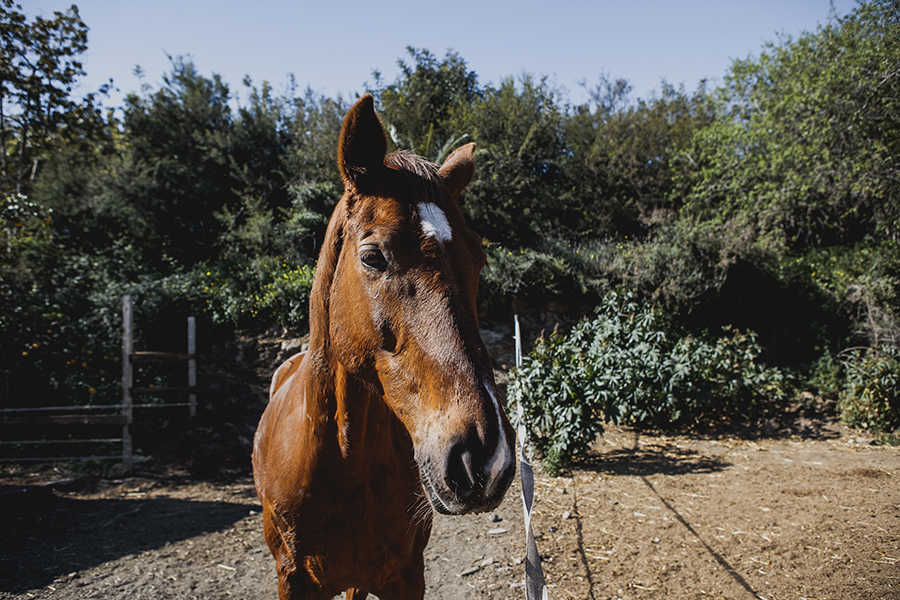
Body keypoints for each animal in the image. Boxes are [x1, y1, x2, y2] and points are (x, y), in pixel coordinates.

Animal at [253, 95, 516, 600]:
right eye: (373, 256)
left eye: (478, 257)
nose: (485, 456)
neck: (343, 466)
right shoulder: (293, 580)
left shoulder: (406, 577)